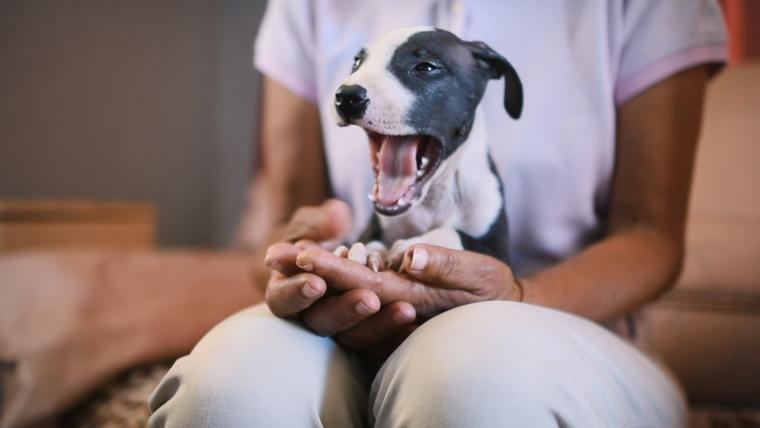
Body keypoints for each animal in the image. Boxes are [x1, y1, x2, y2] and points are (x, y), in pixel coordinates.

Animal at [332, 26, 524, 270]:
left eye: (426, 67)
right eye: (357, 61)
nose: (347, 96)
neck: (434, 198)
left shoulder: (500, 256)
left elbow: (454, 234)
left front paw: (414, 244)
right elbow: (369, 241)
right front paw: (367, 251)